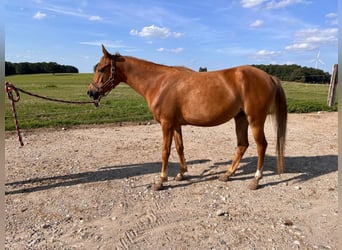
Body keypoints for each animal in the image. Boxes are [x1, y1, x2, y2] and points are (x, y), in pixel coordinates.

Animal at [87, 45, 286, 189]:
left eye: (102, 69)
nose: (91, 92)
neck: (159, 83)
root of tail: (269, 76)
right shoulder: (176, 124)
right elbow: (179, 147)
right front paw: (181, 173)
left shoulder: (166, 124)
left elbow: (165, 151)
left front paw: (161, 180)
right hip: (241, 118)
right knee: (242, 145)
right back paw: (227, 174)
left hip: (255, 119)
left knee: (261, 146)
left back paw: (256, 179)